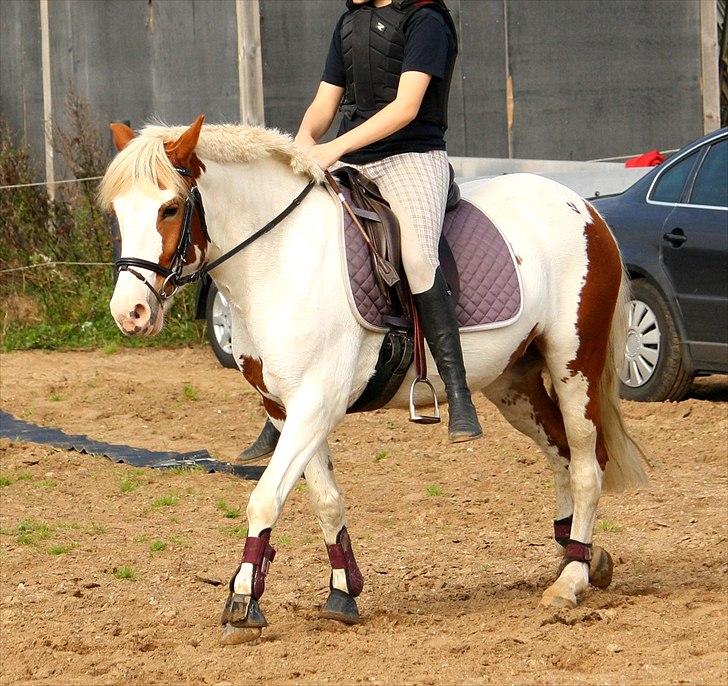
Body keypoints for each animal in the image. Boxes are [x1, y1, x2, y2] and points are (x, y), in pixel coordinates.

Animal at [101, 115, 648, 648]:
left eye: (170, 208)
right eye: (119, 213)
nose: (130, 313)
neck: (279, 258)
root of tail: (586, 208)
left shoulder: (315, 405)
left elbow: (265, 497)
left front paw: (241, 602)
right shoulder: (287, 409)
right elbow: (325, 500)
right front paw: (342, 593)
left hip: (574, 365)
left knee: (586, 463)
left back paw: (571, 580)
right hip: (514, 384)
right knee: (560, 454)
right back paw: (581, 557)